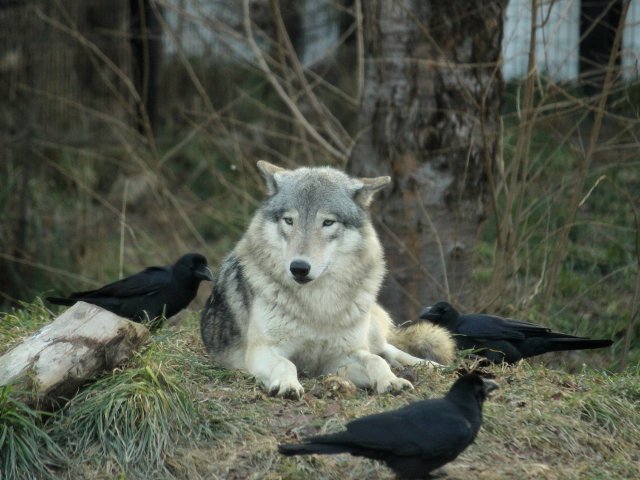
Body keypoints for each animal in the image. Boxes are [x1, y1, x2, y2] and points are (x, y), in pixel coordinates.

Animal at [201, 161, 456, 398]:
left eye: (328, 222)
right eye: (289, 221)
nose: (299, 268)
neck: (318, 305)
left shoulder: (338, 358)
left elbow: (375, 361)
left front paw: (391, 381)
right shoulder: (262, 351)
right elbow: (287, 363)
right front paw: (288, 385)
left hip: (370, 332)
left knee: (389, 350)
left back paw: (433, 367)